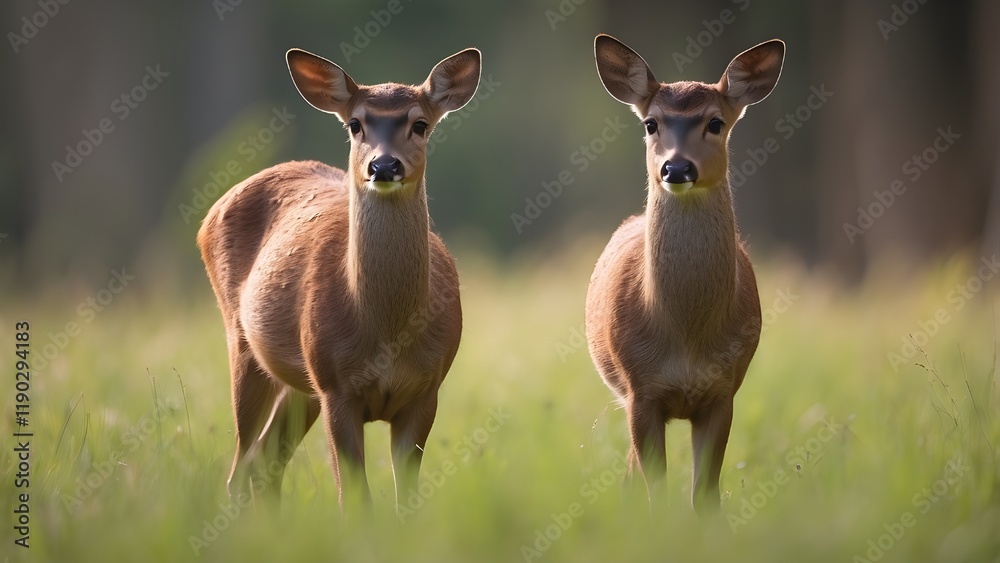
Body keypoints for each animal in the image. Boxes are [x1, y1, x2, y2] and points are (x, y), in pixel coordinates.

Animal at [196, 46, 481, 510]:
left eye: (420, 124)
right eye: (355, 124)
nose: (383, 165)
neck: (386, 333)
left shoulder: (426, 388)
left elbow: (406, 499)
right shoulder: (335, 387)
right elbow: (355, 498)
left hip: (300, 382)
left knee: (263, 462)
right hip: (244, 345)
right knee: (241, 465)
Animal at [586, 34, 784, 514]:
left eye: (715, 122)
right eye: (651, 124)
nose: (676, 168)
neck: (686, 336)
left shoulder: (724, 389)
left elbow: (705, 494)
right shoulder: (641, 389)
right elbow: (656, 489)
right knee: (630, 473)